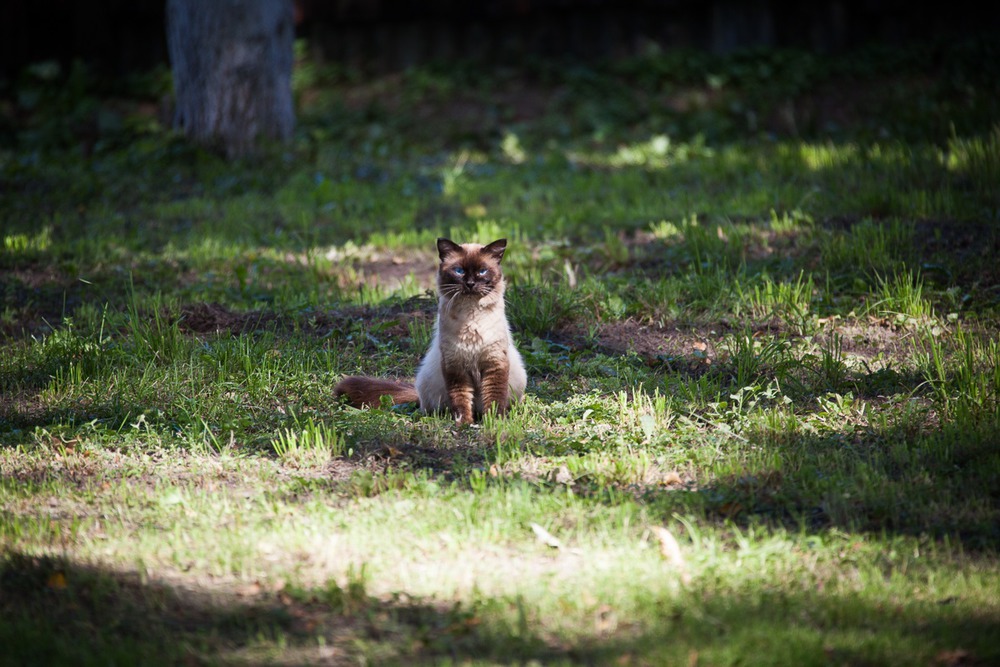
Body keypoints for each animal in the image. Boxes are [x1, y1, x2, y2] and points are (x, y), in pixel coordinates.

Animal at [332, 237, 528, 426]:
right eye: (459, 271)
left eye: (482, 271)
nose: (471, 284)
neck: (471, 316)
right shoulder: (455, 365)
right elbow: (461, 399)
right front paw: (464, 424)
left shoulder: (494, 363)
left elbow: (494, 400)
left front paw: (494, 423)